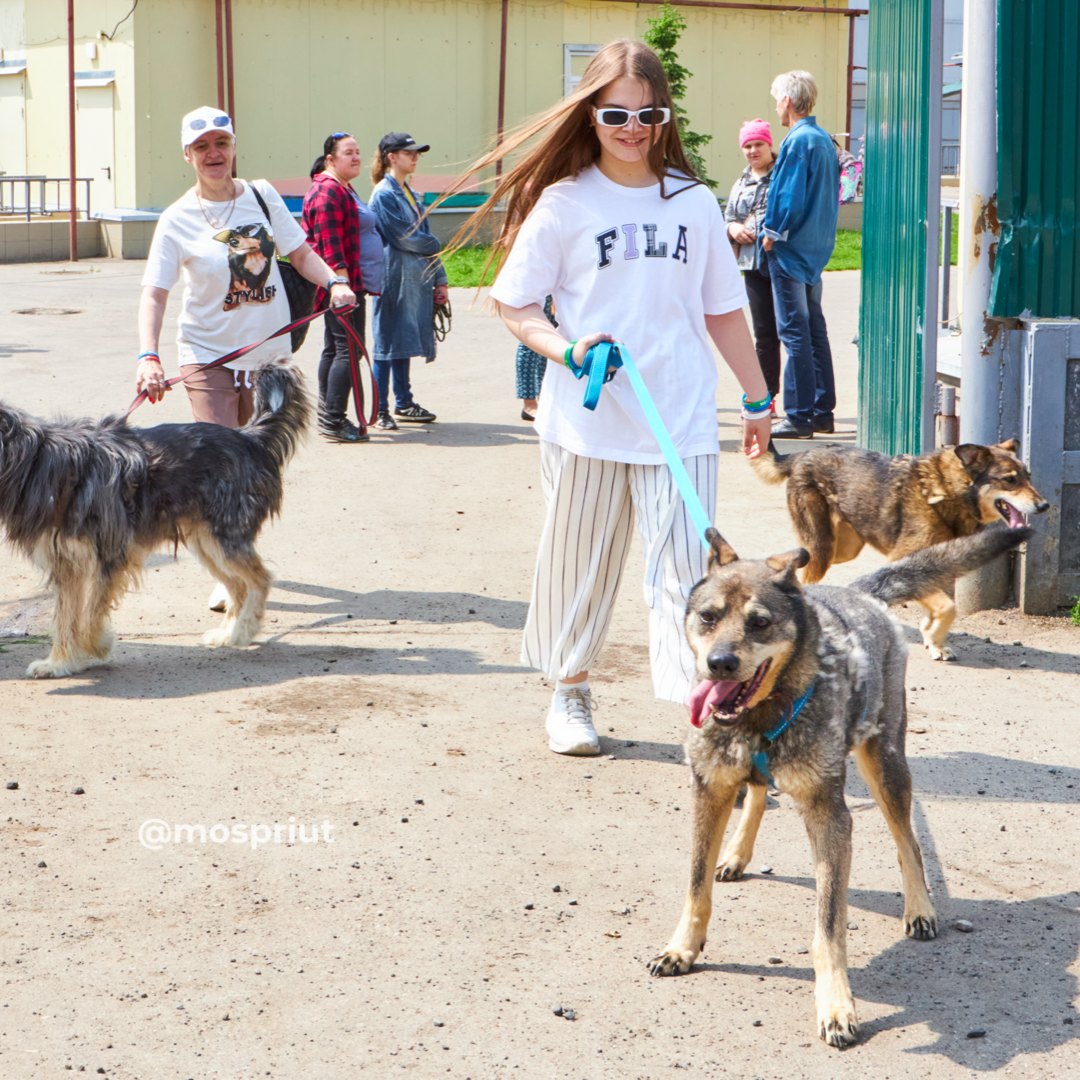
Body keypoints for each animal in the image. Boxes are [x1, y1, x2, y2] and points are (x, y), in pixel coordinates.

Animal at [648, 522, 1028, 1045]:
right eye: (707, 617)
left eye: (760, 622)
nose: (719, 663)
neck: (760, 717)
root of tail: (858, 593)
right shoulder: (709, 791)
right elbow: (695, 886)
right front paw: (683, 947)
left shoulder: (830, 817)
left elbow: (829, 926)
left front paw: (835, 1005)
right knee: (760, 794)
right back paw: (737, 854)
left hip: (885, 765)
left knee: (908, 839)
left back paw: (920, 908)